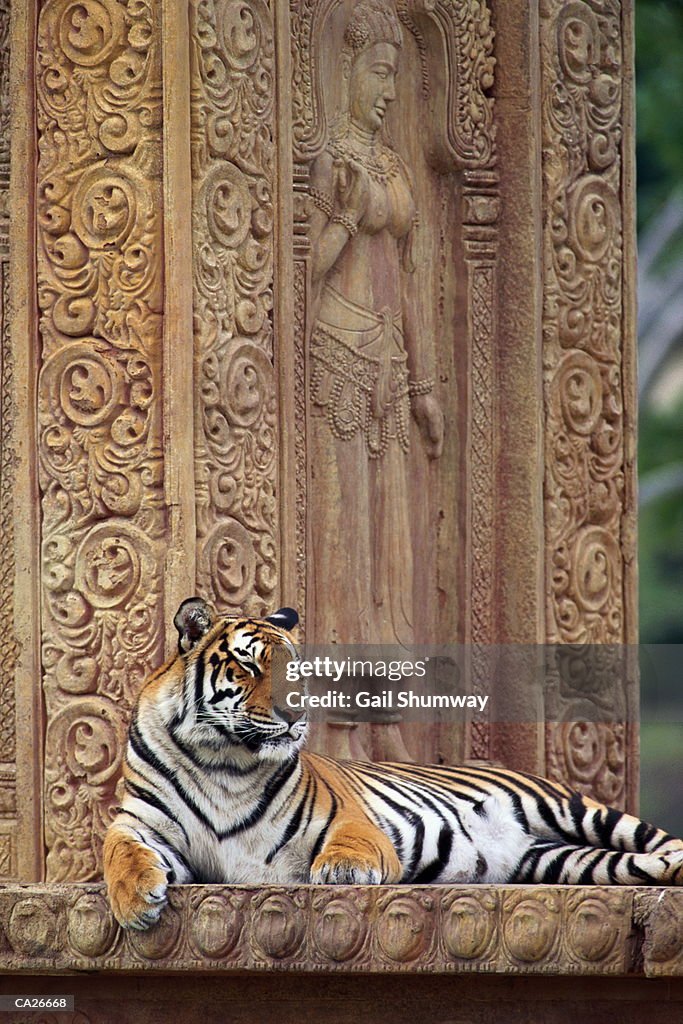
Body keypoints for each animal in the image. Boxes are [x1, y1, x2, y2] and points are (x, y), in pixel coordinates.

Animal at [104, 598, 683, 933]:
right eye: (247, 665)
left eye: (296, 667)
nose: (297, 712)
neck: (225, 758)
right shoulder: (142, 822)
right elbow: (119, 850)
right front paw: (134, 900)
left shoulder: (344, 817)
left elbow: (350, 842)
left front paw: (343, 870)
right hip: (563, 861)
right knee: (639, 864)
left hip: (576, 810)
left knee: (660, 840)